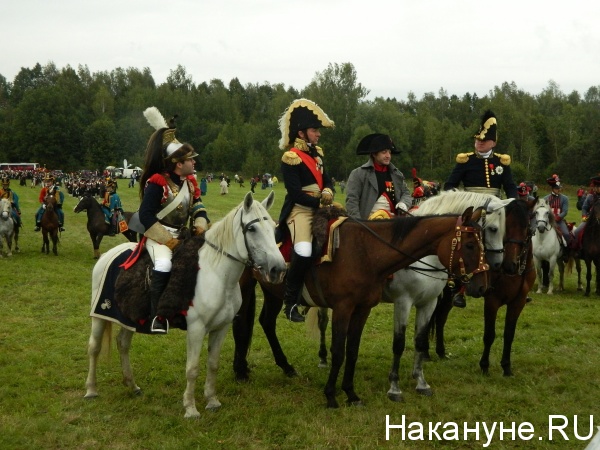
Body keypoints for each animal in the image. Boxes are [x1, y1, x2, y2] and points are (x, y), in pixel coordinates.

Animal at [85, 191, 288, 418]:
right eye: (252, 229)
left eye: (273, 228)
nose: (278, 269)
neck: (216, 273)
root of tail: (107, 255)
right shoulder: (196, 328)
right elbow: (192, 369)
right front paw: (190, 408)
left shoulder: (221, 328)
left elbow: (213, 364)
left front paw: (212, 400)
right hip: (99, 315)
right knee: (94, 347)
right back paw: (91, 389)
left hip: (129, 317)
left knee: (123, 343)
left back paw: (132, 385)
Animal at [232, 207, 490, 408]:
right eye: (469, 245)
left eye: (483, 243)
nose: (482, 286)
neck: (366, 252)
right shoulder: (347, 307)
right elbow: (340, 351)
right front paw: (331, 396)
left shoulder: (364, 308)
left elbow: (354, 350)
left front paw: (351, 393)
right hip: (243, 287)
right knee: (239, 325)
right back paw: (240, 370)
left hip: (273, 293)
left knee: (266, 323)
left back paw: (284, 367)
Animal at [428, 199, 536, 378]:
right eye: (505, 227)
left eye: (526, 227)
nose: (509, 264)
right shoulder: (492, 301)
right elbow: (489, 335)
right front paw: (484, 365)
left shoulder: (518, 302)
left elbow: (509, 334)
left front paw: (506, 367)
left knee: (441, 316)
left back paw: (441, 352)